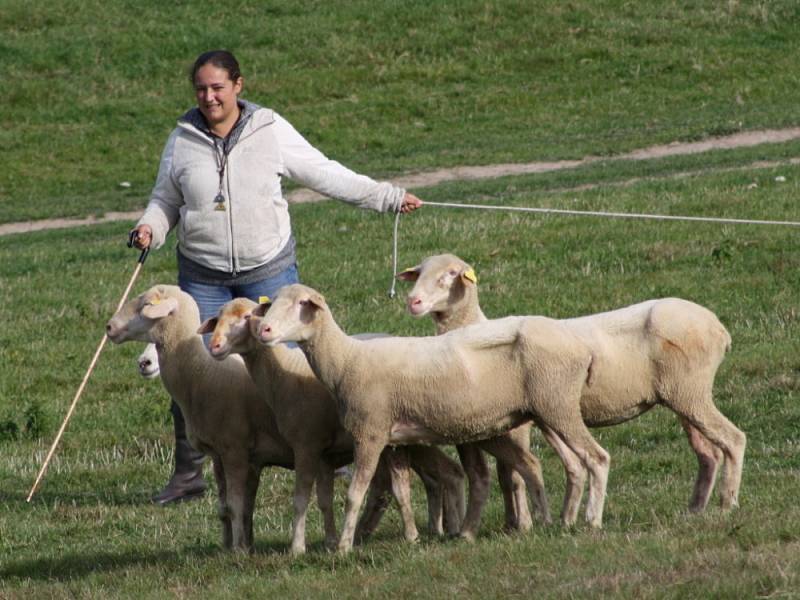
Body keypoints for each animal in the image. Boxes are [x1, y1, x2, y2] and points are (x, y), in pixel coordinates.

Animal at [197, 298, 466, 552]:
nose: (214, 346)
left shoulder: (307, 444)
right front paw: (329, 541)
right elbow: (324, 500)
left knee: (440, 473)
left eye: (245, 317)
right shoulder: (323, 453)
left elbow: (300, 499)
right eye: (218, 319)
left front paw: (297, 547)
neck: (284, 372)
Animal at [260, 284, 608, 552]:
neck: (346, 360)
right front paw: (411, 538)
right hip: (509, 421)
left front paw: (344, 548)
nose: (264, 330)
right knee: (532, 465)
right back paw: (541, 522)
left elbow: (354, 494)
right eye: (272, 303)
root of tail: (582, 348)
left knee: (597, 458)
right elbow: (400, 490)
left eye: (301, 304)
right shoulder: (393, 442)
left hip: (557, 404)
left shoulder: (370, 433)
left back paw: (591, 521)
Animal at [398, 253, 744, 520]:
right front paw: (565, 517)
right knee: (709, 453)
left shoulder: (522, 423)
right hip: (681, 396)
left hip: (690, 391)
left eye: (450, 274)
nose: (413, 301)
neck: (474, 327)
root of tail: (719, 328)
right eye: (418, 272)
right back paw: (696, 508)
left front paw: (523, 523)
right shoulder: (541, 417)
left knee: (733, 439)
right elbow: (569, 466)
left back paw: (727, 503)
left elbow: (512, 474)